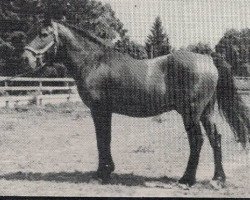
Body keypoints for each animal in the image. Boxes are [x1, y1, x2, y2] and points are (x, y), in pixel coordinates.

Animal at [22, 19, 249, 188]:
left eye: (44, 34)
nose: (25, 58)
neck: (94, 62)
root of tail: (208, 59)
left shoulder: (99, 110)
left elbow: (102, 140)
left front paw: (101, 174)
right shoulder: (106, 111)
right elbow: (106, 139)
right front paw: (107, 171)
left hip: (190, 113)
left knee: (197, 140)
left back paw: (187, 179)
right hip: (205, 113)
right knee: (215, 138)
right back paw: (217, 179)